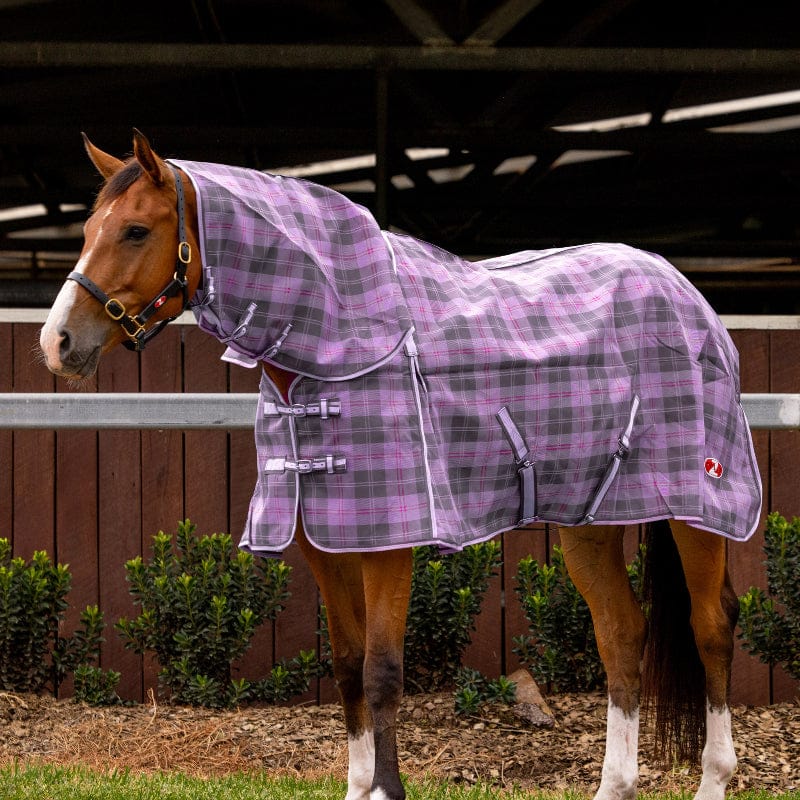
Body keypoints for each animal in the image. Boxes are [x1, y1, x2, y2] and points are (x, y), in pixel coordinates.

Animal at [39, 130, 754, 800]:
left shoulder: (389, 544)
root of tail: (685, 292)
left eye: (135, 230)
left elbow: (382, 671)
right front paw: (360, 784)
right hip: (592, 521)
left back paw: (713, 778)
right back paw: (616, 783)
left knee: (711, 627)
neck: (339, 342)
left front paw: (385, 788)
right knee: (622, 635)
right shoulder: (324, 542)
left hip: (699, 509)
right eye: (87, 231)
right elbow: (349, 665)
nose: (57, 342)